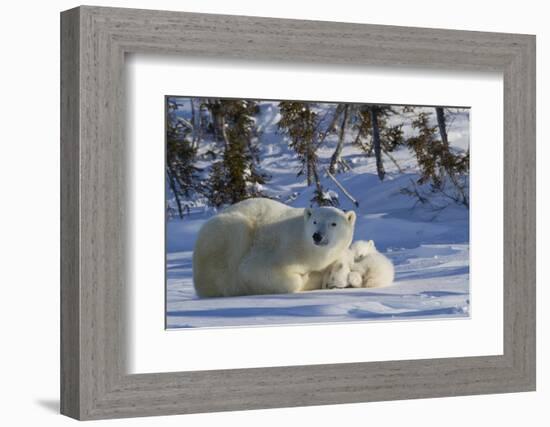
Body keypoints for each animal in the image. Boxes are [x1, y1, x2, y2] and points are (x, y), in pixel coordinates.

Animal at [194, 198, 358, 296]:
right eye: (315, 221)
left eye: (333, 224)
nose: (317, 236)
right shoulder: (280, 249)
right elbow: (254, 271)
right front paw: (310, 277)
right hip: (228, 234)